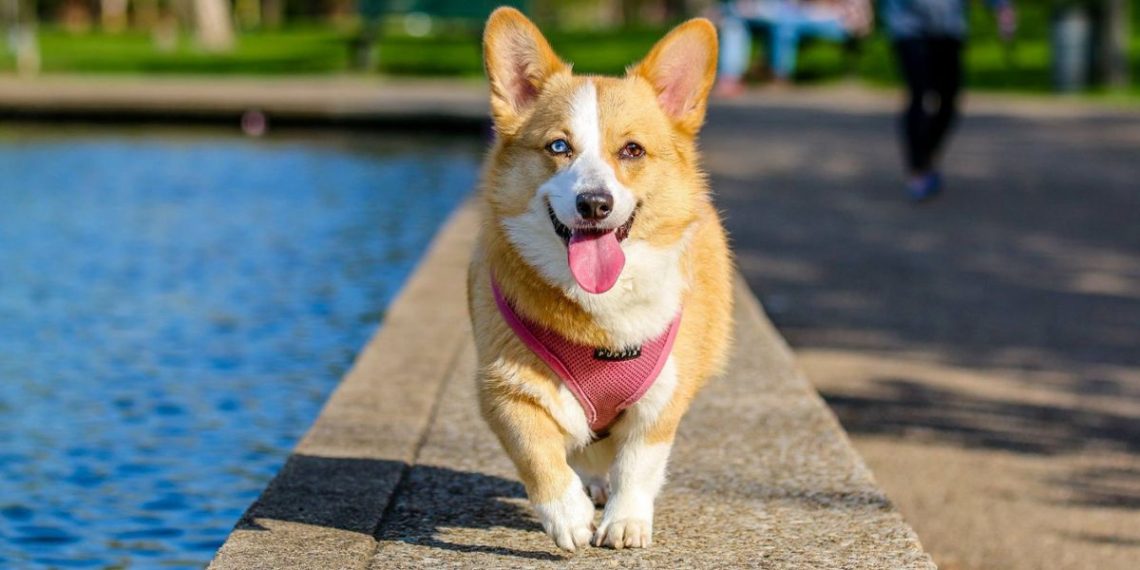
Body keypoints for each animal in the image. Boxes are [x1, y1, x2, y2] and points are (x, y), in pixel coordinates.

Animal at [467, 6, 734, 549]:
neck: (600, 315)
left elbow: (638, 463)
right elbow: (538, 453)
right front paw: (567, 516)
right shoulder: (503, 388)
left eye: (631, 150)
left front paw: (625, 521)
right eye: (558, 146)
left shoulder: (662, 399)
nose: (595, 203)